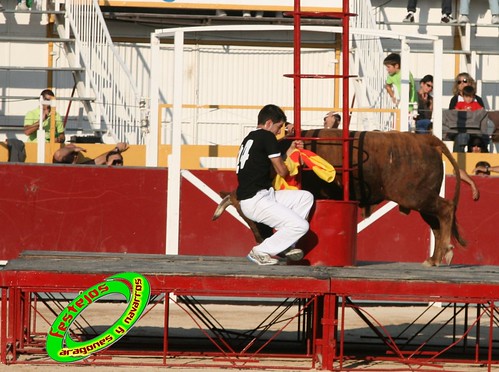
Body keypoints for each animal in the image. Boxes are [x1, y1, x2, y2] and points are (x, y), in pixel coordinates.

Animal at [214, 129, 464, 266]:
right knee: (436, 223)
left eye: (248, 216)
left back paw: (443, 254)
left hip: (415, 196)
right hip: (421, 200)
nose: (260, 237)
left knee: (446, 209)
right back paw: (434, 258)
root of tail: (426, 140)